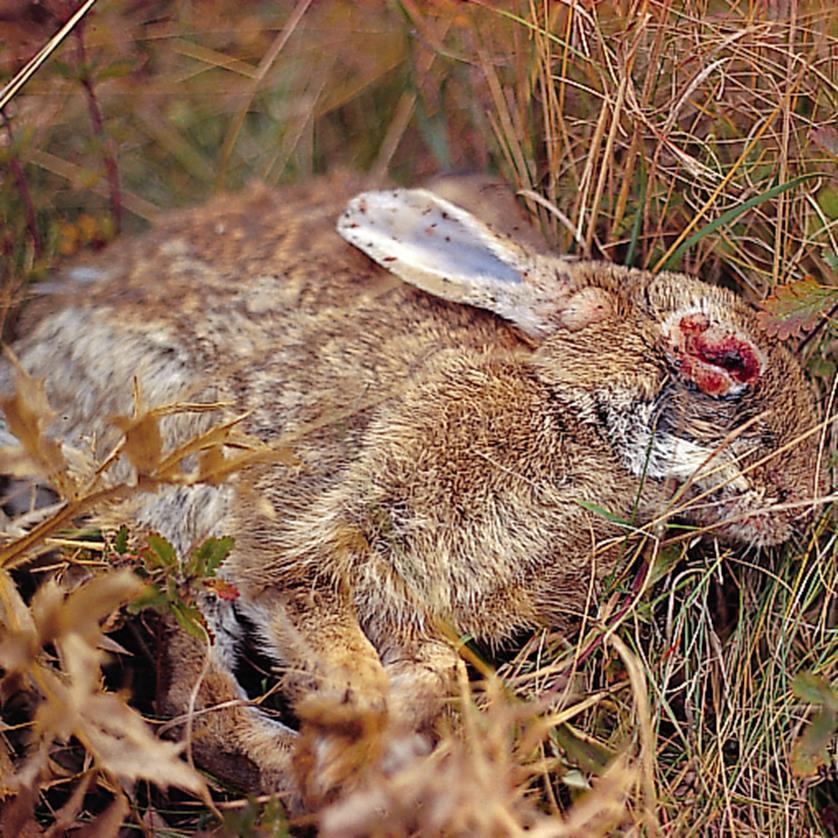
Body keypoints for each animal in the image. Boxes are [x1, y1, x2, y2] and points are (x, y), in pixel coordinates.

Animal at [0, 174, 828, 812]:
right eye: (728, 358)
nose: (806, 502)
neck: (566, 417)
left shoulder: (413, 607)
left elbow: (429, 671)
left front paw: (410, 724)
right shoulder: (311, 547)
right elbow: (339, 656)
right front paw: (365, 734)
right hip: (176, 493)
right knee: (190, 702)